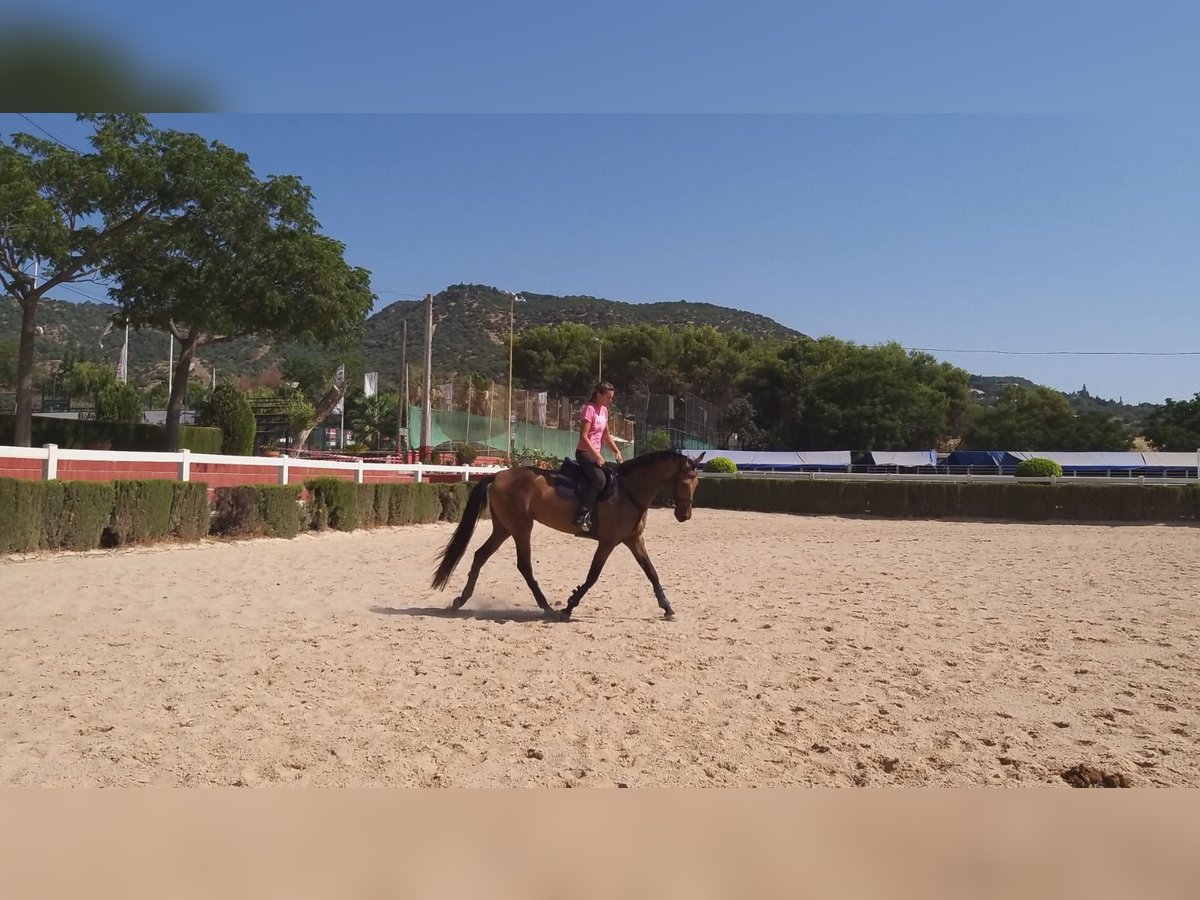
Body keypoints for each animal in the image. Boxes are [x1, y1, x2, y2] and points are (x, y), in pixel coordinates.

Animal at [434, 451, 700, 619]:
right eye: (685, 481)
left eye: (696, 483)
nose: (685, 515)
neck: (628, 491)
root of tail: (498, 475)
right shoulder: (608, 542)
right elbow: (593, 576)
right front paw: (569, 607)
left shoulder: (633, 540)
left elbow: (651, 572)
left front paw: (667, 608)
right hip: (521, 527)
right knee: (524, 565)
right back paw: (546, 607)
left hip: (504, 528)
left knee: (480, 556)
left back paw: (461, 600)